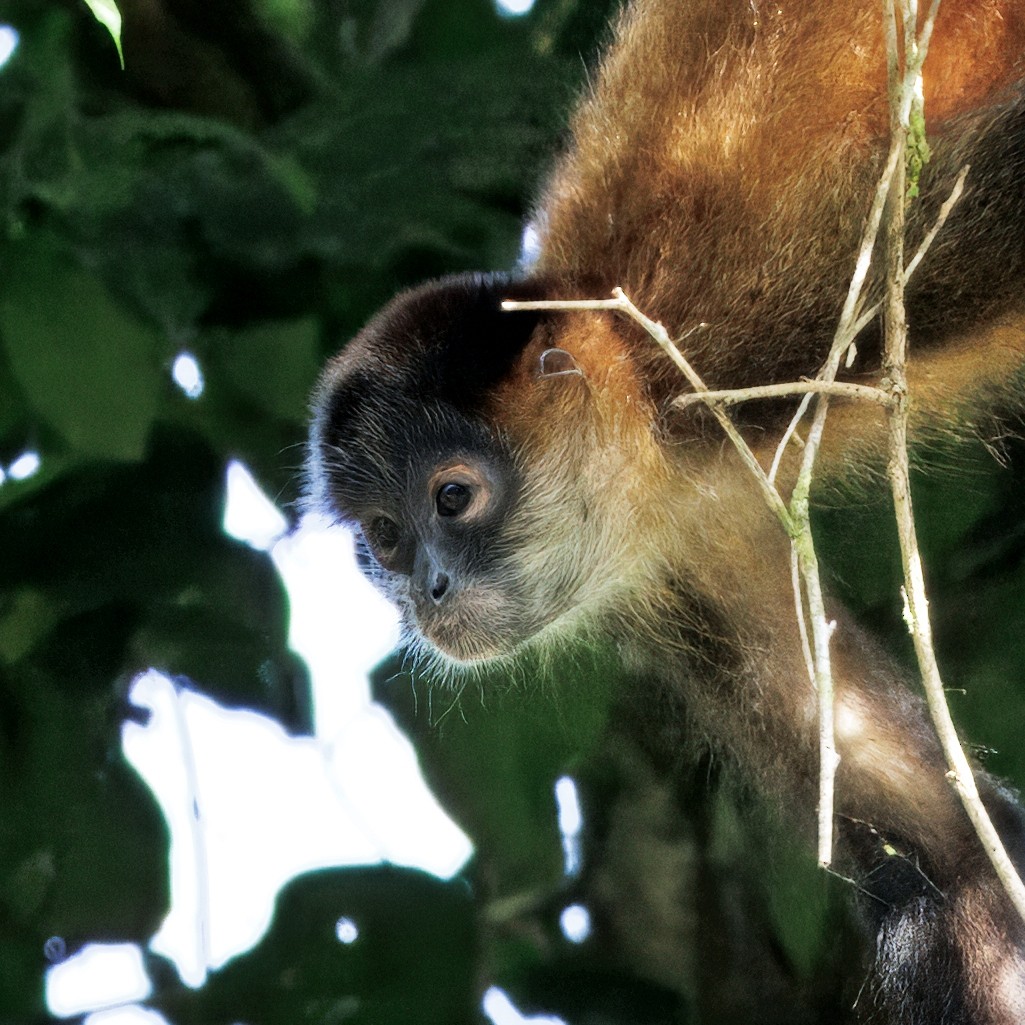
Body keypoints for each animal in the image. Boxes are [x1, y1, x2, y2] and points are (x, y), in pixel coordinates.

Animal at [307, 0, 1025, 1021]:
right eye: (385, 538)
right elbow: (945, 847)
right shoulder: (679, 550)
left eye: (453, 496)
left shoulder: (752, 326)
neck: (635, 392)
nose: (427, 591)